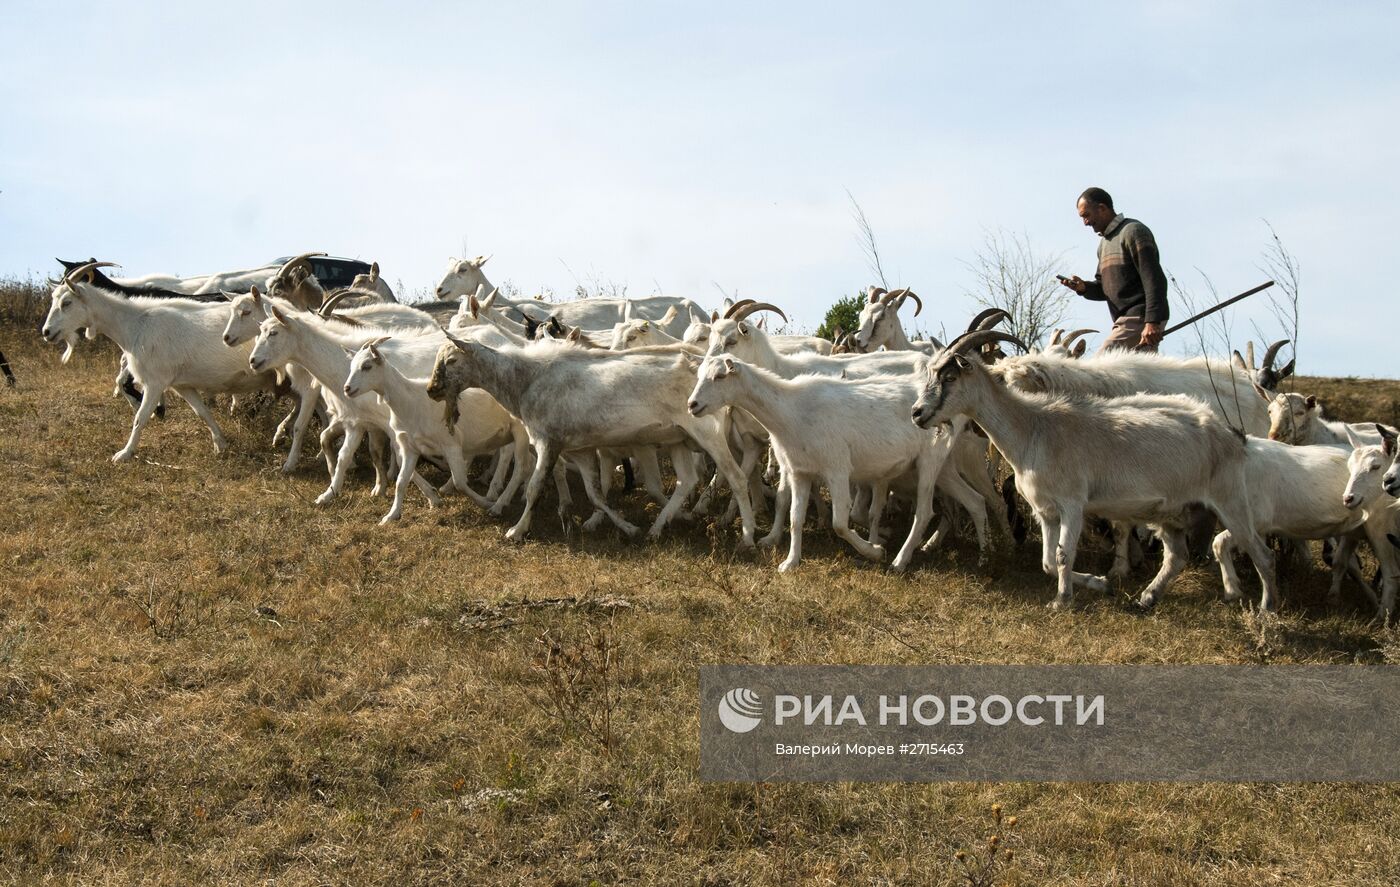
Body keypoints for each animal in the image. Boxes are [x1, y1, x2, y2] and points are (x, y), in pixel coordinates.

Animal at [907, 328, 1282, 609]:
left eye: (950, 375)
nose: (917, 413)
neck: (1035, 427)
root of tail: (1231, 435)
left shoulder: (1073, 503)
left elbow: (1062, 556)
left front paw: (1062, 601)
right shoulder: (1046, 511)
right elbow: (1048, 561)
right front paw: (1099, 583)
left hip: (1230, 501)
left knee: (1263, 554)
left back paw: (1267, 609)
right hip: (1172, 512)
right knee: (1177, 556)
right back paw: (1147, 598)